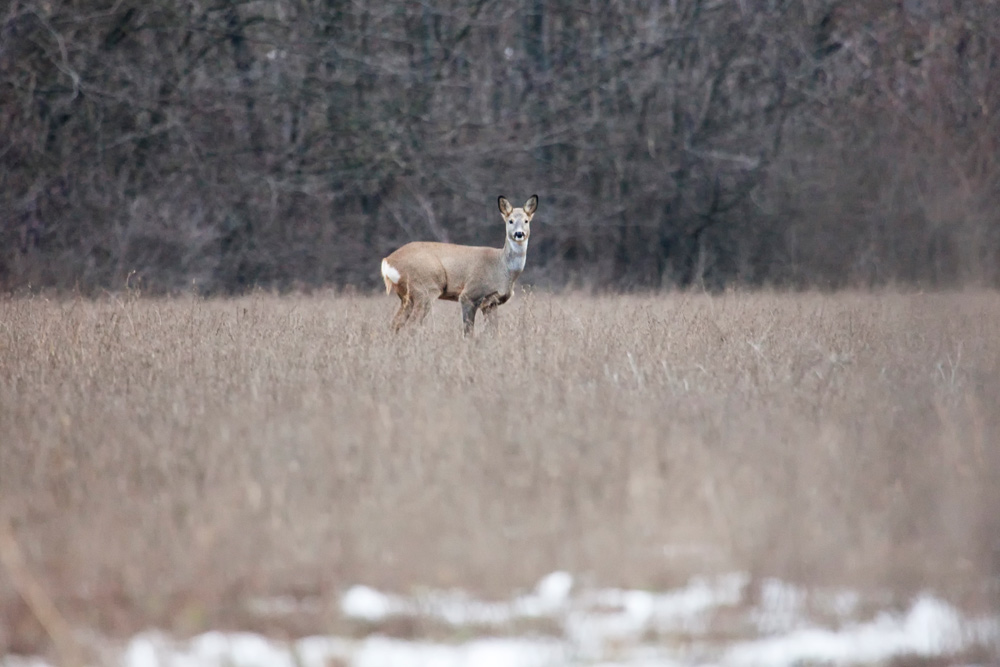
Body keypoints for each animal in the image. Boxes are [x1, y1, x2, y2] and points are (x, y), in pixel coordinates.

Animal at [380, 196, 540, 336]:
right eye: (510, 221)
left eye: (526, 220)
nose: (519, 234)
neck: (502, 267)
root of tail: (387, 261)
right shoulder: (469, 294)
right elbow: (468, 332)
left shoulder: (491, 303)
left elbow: (494, 333)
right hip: (425, 289)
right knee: (411, 326)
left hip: (406, 297)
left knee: (395, 324)